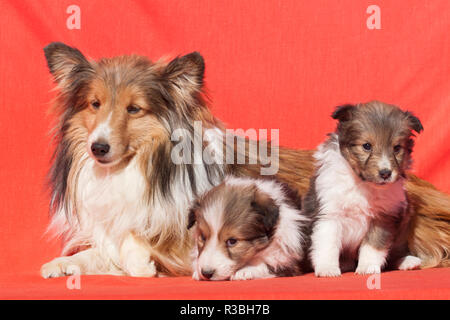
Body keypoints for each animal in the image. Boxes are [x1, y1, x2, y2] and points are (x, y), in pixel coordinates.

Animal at [306, 101, 426, 276]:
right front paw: (327, 268)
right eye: (367, 146)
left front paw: (367, 266)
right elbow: (328, 244)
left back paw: (407, 261)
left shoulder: (384, 217)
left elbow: (373, 245)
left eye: (397, 148)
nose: (385, 173)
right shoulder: (329, 214)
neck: (363, 183)